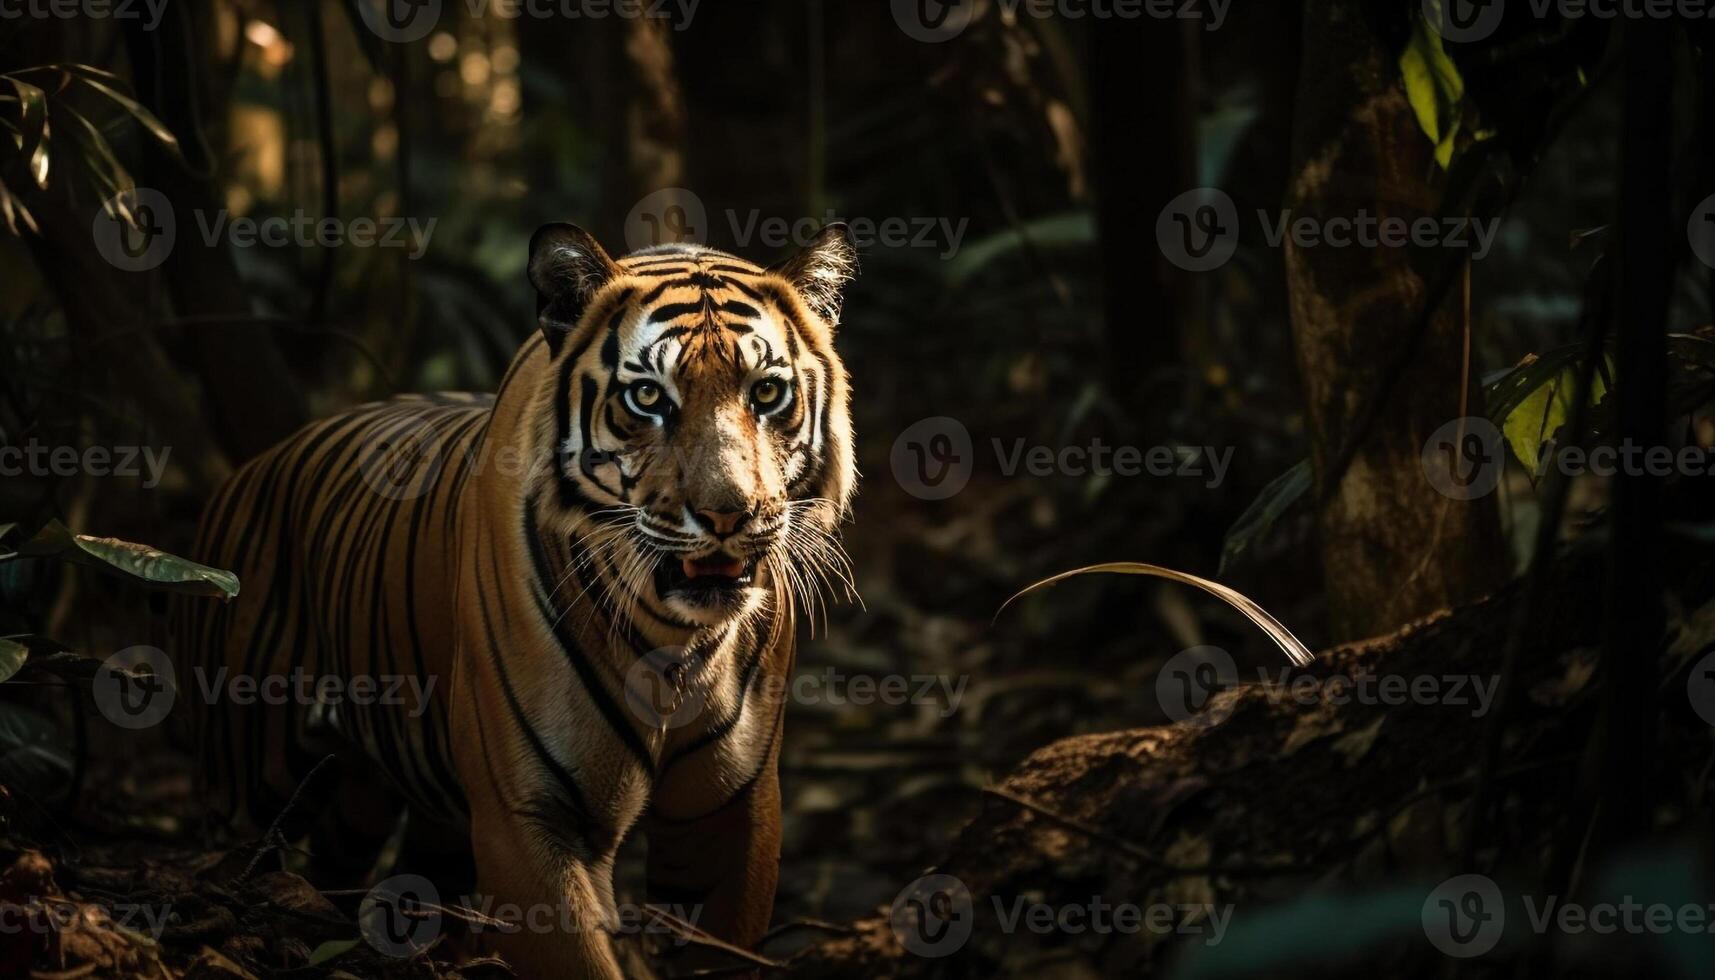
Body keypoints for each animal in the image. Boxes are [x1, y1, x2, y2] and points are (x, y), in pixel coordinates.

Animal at [174, 223, 857, 980]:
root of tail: (249, 468)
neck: (673, 641)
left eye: (766, 392)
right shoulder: (527, 812)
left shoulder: (731, 809)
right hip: (251, 771)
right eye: (649, 398)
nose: (728, 513)